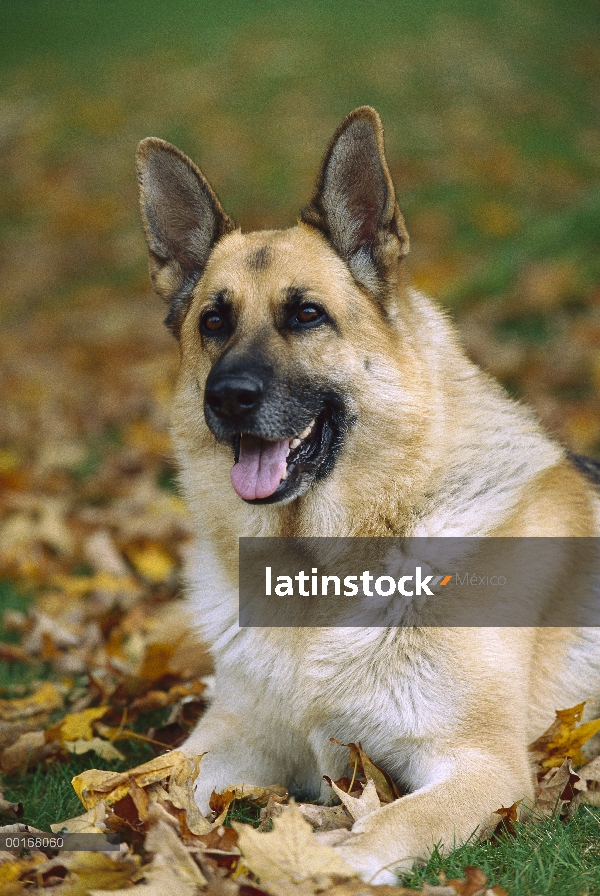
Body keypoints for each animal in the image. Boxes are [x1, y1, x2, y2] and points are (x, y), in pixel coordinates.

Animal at [136, 110, 600, 880]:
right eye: (213, 323)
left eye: (306, 315)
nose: (228, 399)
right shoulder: (227, 744)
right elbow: (124, 790)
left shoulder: (483, 766)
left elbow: (386, 827)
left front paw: (319, 864)